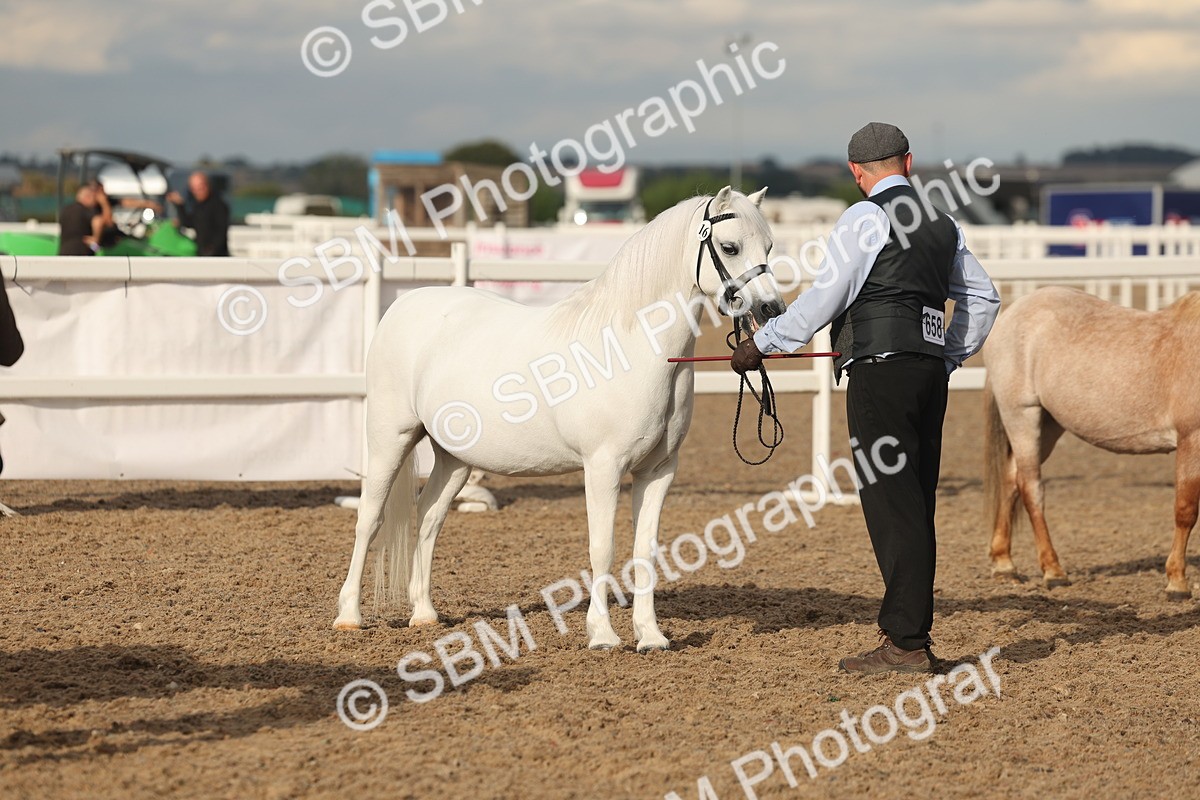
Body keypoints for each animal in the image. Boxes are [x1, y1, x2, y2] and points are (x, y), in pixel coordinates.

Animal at [334, 187, 786, 651]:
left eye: (769, 246)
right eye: (730, 247)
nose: (771, 307)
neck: (630, 349)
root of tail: (403, 304)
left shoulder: (658, 471)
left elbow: (645, 551)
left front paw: (650, 635)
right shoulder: (602, 467)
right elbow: (602, 548)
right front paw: (602, 634)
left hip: (454, 458)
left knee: (428, 517)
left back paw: (423, 614)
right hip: (390, 439)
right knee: (370, 517)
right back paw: (349, 616)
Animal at [983, 286, 1200, 598]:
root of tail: (1013, 312)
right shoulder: (1191, 439)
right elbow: (1185, 510)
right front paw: (1177, 582)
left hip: (1048, 426)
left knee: (1011, 478)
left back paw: (1004, 565)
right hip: (1021, 415)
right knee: (1030, 488)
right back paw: (1053, 571)